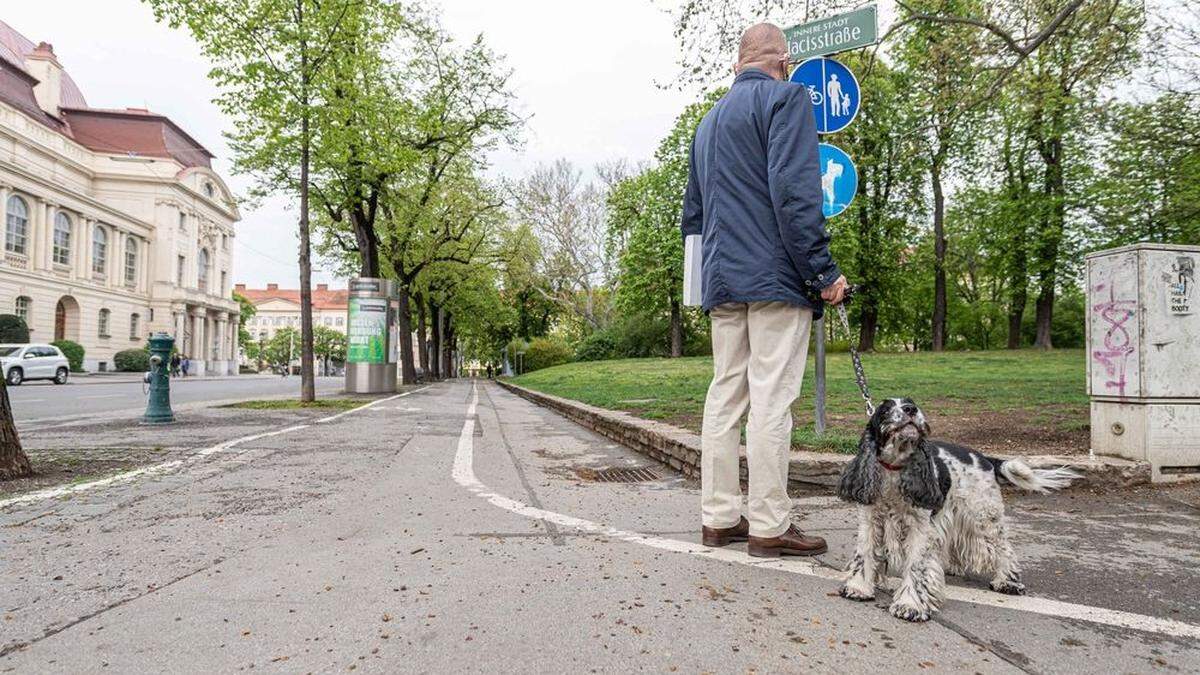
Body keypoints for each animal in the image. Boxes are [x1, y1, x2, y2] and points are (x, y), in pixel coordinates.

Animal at [835, 396, 1080, 624]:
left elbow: (916, 565)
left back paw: (1007, 582)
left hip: (983, 516)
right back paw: (955, 567)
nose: (910, 409)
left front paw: (910, 606)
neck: (894, 471)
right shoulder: (871, 520)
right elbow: (864, 553)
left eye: (911, 403)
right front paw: (858, 588)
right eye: (886, 409)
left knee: (1004, 549)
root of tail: (985, 458)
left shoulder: (919, 529)